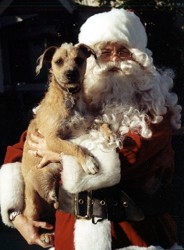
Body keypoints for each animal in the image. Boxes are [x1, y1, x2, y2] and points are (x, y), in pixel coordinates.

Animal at [20, 42, 98, 221]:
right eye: (58, 61)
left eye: (79, 60)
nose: (70, 73)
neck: (70, 97)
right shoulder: (51, 139)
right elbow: (74, 147)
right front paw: (88, 162)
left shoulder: (86, 126)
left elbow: (101, 125)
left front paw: (110, 133)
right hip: (32, 201)